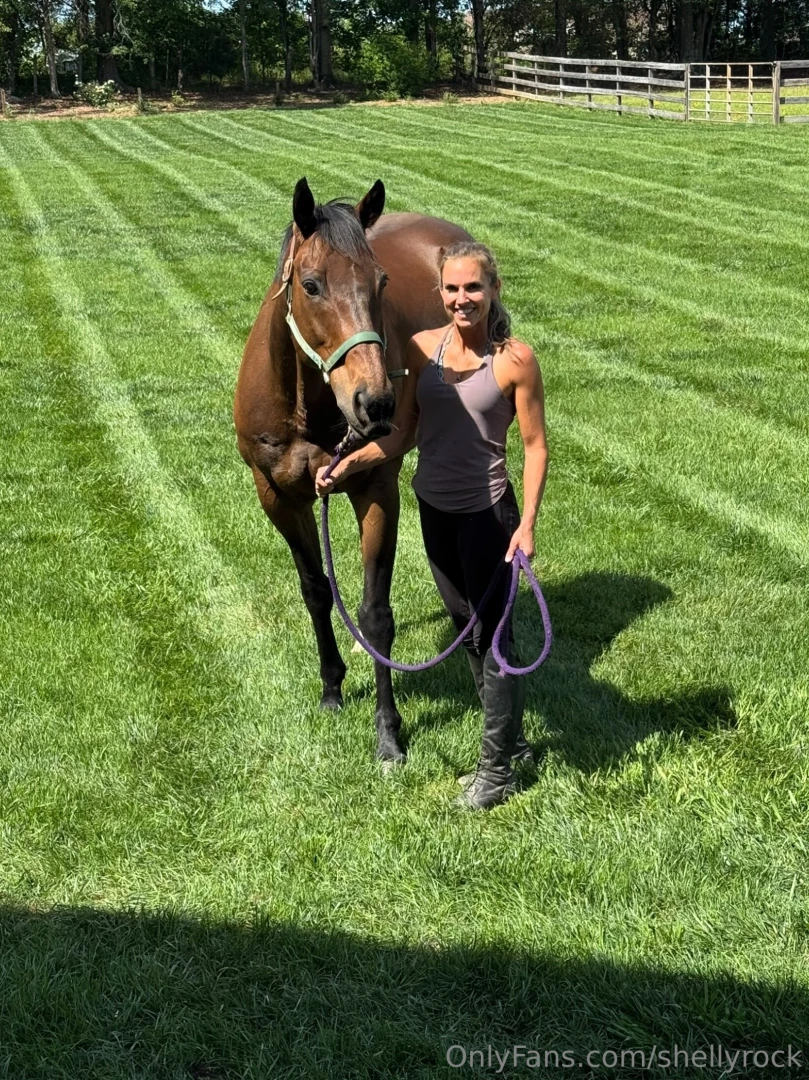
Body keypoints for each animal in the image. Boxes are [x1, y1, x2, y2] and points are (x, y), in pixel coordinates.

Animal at [234, 177, 471, 763]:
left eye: (380, 281)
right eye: (311, 285)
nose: (376, 402)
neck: (310, 411)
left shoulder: (377, 489)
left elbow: (375, 615)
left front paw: (388, 734)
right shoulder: (278, 497)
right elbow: (317, 590)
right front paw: (332, 688)